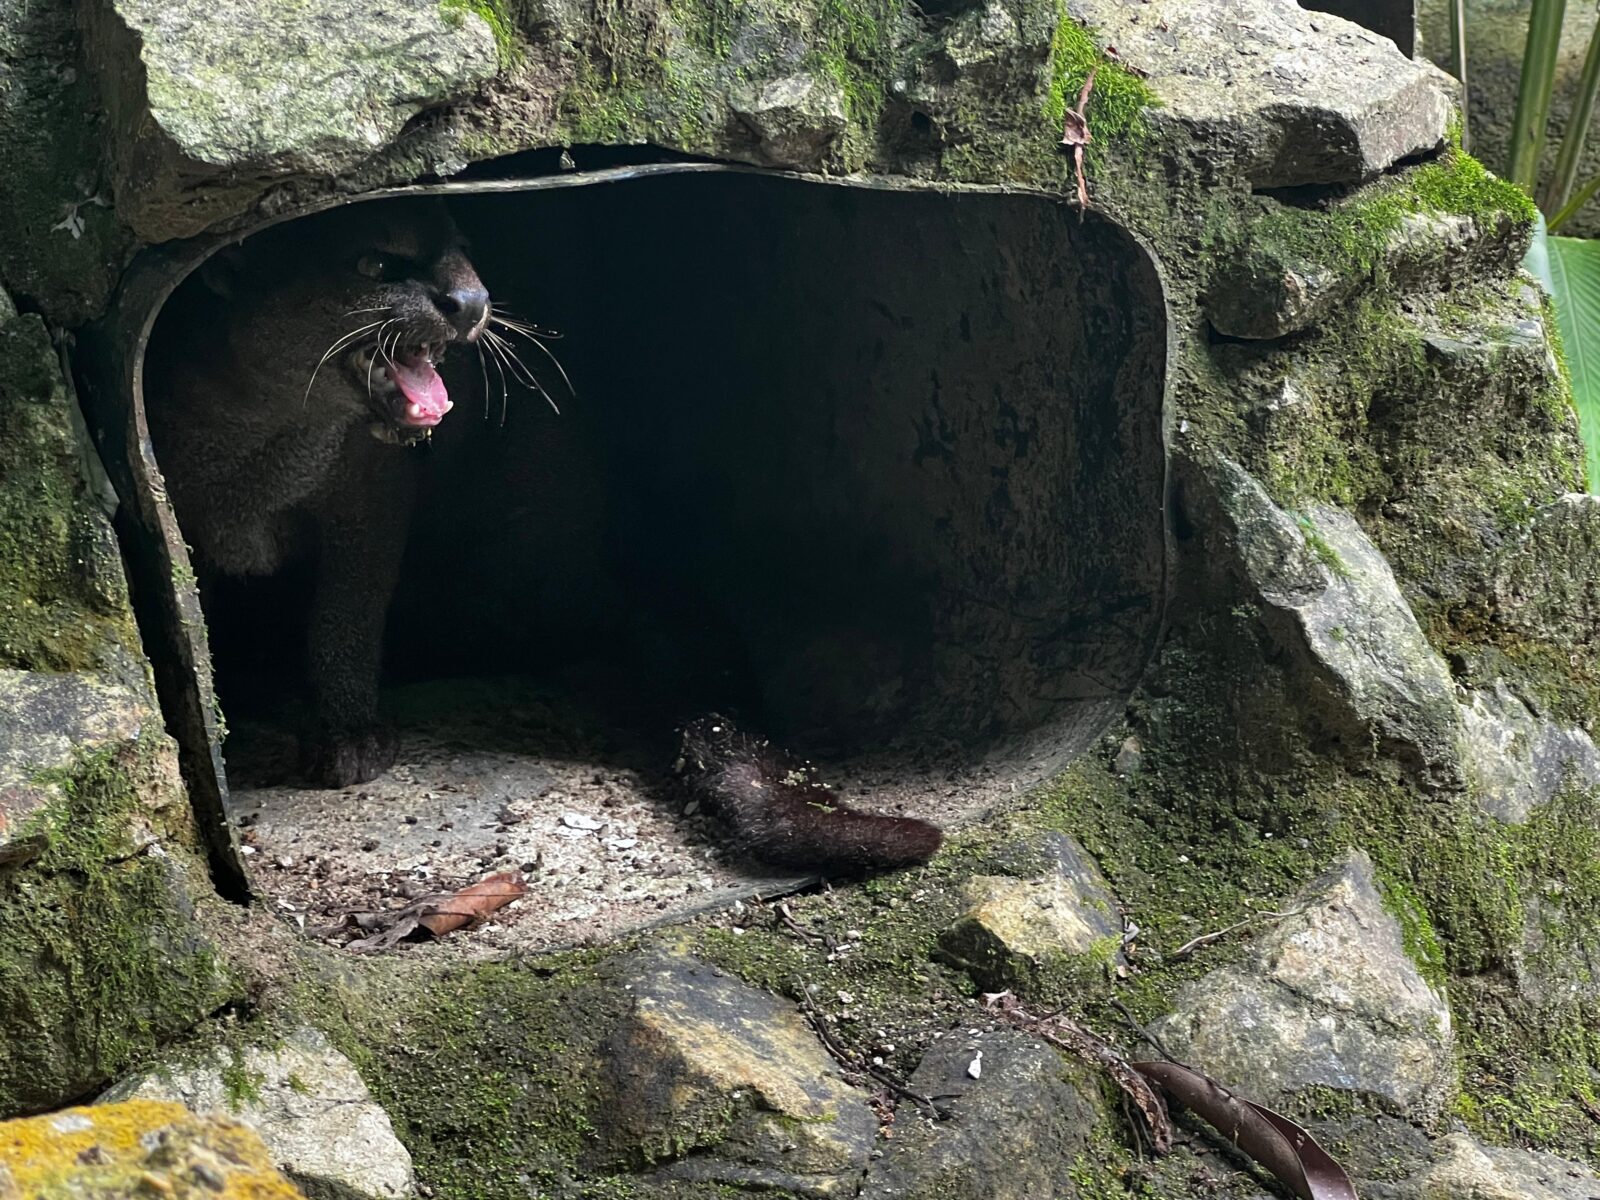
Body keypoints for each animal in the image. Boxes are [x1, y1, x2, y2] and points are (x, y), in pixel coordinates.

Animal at [149, 200, 486, 790]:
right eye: (375, 265)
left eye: (462, 249)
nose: (471, 303)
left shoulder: (370, 500)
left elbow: (346, 614)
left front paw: (349, 731)